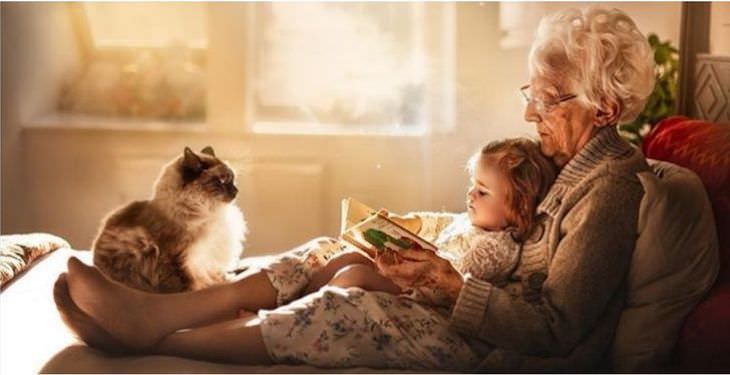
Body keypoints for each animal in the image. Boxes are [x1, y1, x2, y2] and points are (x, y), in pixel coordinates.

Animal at [92, 147, 246, 294]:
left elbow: (214, 273)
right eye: (222, 181)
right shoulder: (180, 258)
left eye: (233, 180)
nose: (237, 191)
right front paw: (204, 287)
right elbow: (189, 284)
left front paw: (224, 278)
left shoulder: (208, 258)